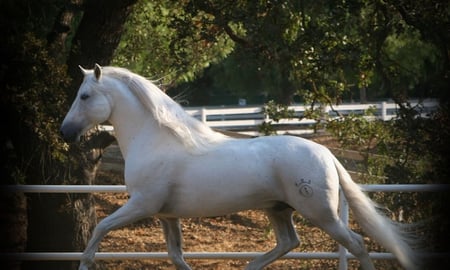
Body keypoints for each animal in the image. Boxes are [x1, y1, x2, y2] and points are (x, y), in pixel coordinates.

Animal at [61, 64, 420, 268]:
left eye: (84, 95)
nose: (65, 132)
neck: (155, 141)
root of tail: (326, 153)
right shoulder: (166, 215)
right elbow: (176, 257)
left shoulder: (141, 205)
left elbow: (99, 231)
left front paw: (87, 264)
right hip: (278, 209)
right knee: (289, 243)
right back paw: (250, 266)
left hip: (321, 214)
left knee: (357, 245)